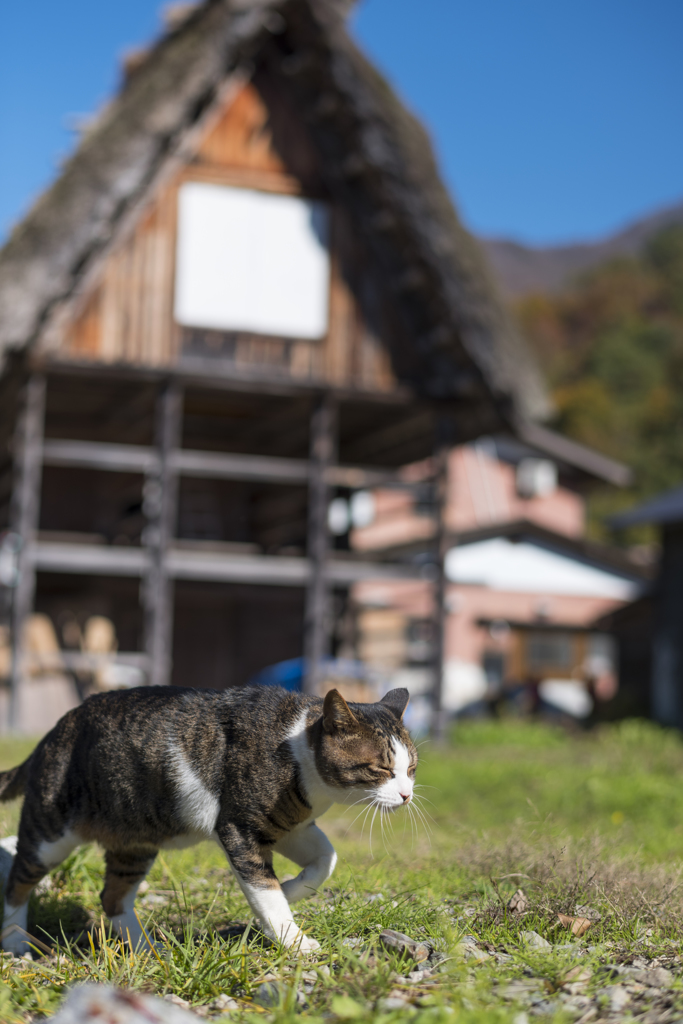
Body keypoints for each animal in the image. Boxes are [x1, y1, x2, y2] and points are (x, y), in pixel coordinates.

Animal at [0, 684, 417, 954]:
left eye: (411, 769)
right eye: (381, 769)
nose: (407, 795)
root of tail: (51, 734)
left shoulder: (290, 826)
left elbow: (326, 858)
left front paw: (292, 888)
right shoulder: (240, 828)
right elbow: (265, 893)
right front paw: (293, 940)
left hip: (136, 841)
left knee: (113, 896)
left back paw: (146, 948)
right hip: (51, 831)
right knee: (17, 880)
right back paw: (16, 941)